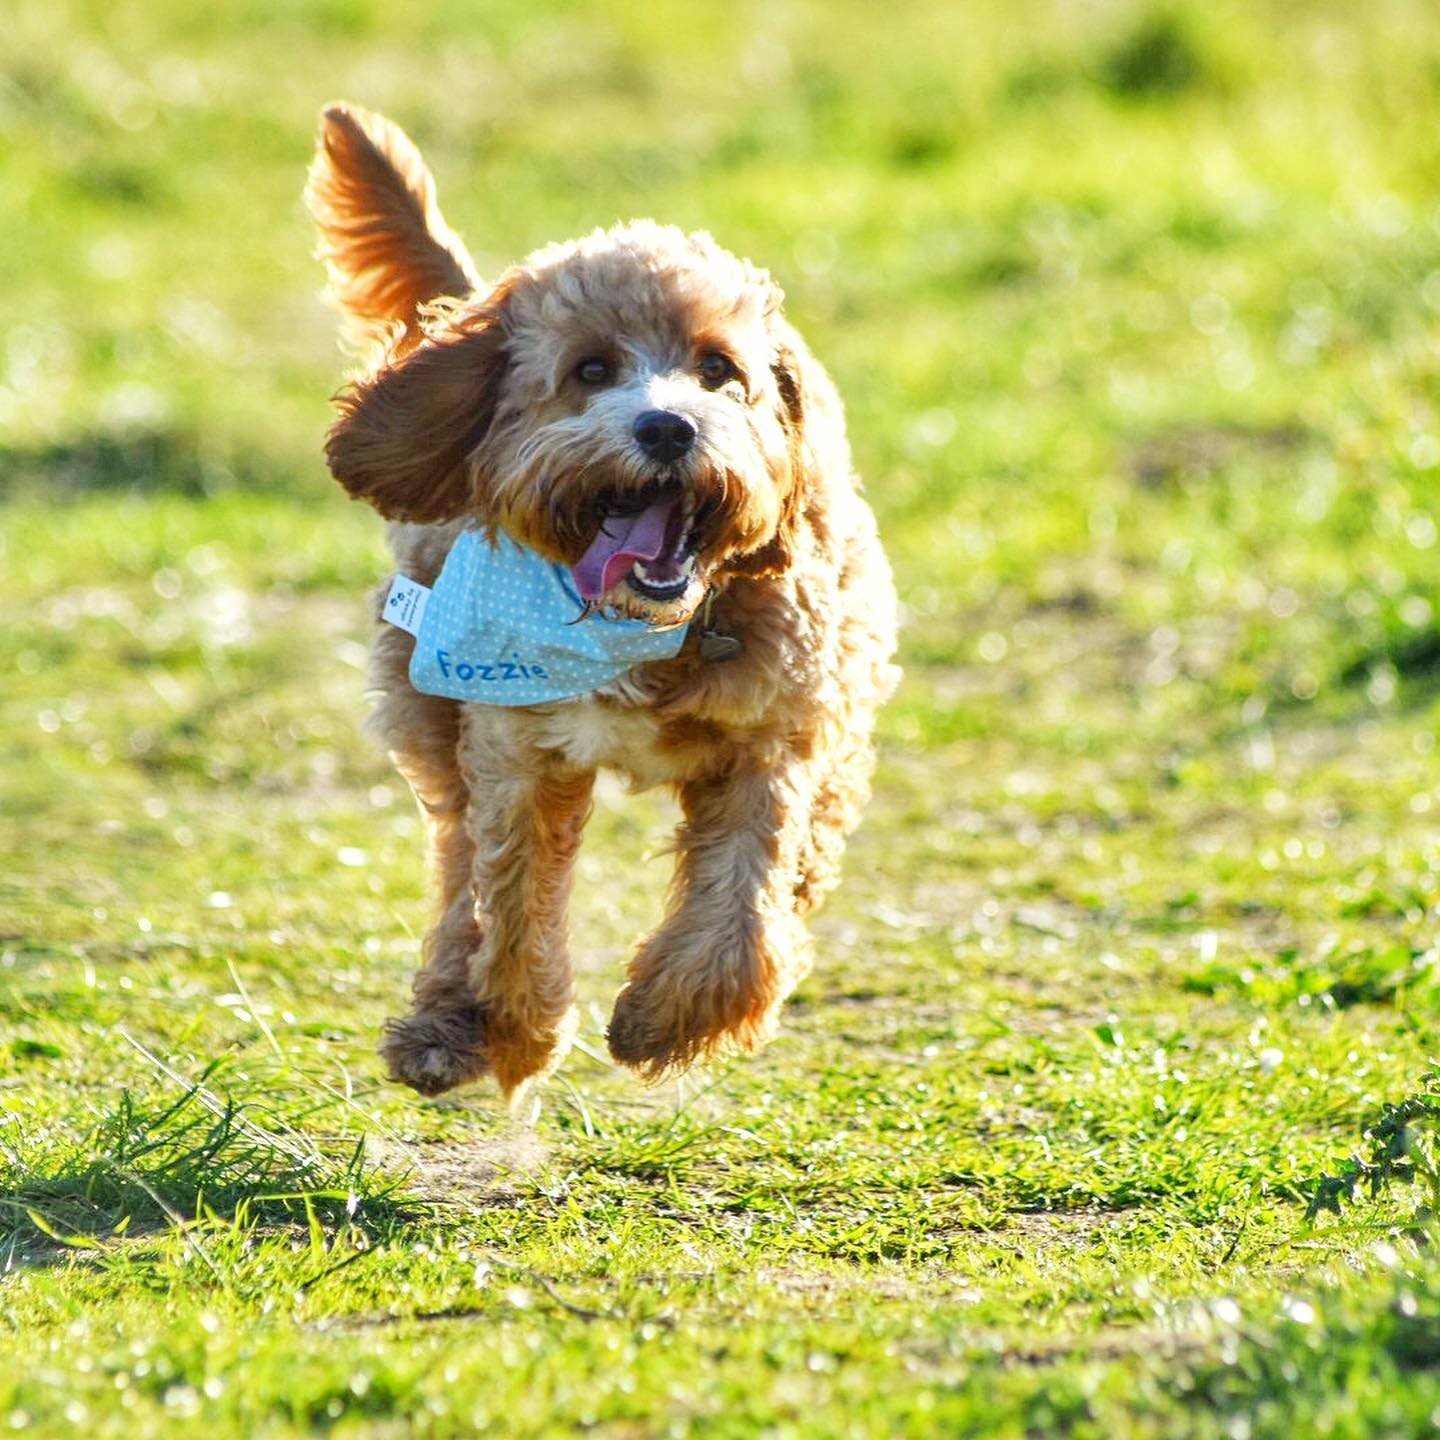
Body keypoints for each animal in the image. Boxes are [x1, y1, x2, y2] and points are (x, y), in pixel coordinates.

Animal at [305, 103, 898, 1100]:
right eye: (590, 371)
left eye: (717, 369)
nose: (667, 427)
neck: (648, 628)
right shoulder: (517, 748)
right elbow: (511, 903)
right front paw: (516, 1034)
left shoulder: (772, 737)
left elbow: (742, 907)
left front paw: (669, 1019)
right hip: (428, 701)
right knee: (457, 863)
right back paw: (445, 1023)